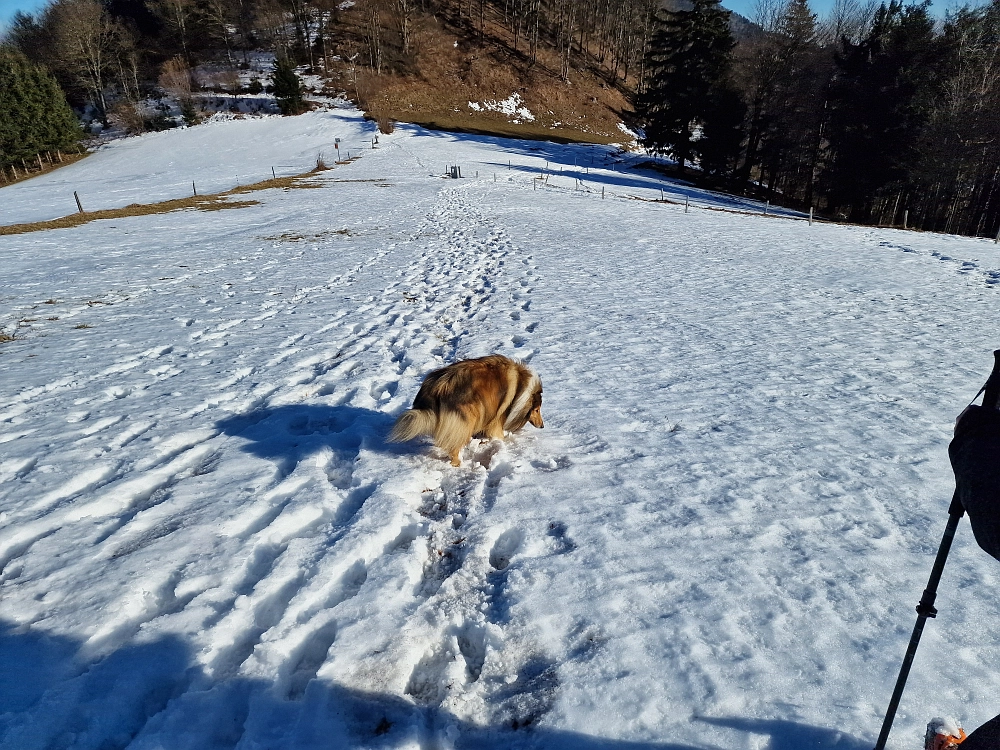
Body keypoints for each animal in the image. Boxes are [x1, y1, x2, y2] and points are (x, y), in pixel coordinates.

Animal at [390, 356, 548, 468]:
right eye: (537, 409)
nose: (542, 426)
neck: (521, 388)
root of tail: (437, 387)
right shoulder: (497, 418)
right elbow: (498, 434)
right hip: (467, 418)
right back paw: (457, 464)